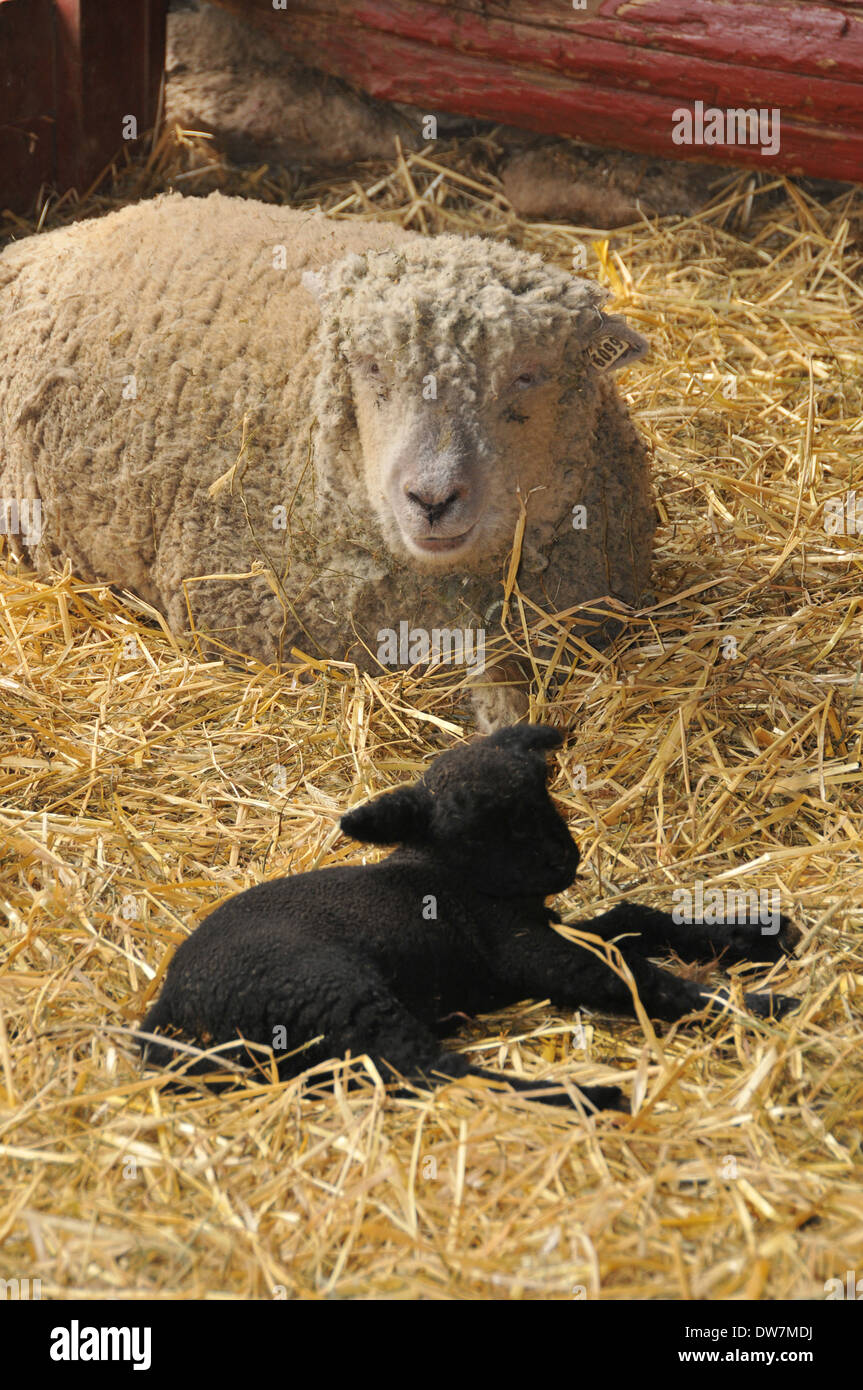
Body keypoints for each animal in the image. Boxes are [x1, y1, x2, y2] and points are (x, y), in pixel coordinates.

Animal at [138, 725, 798, 1110]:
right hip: (329, 991)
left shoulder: (538, 927)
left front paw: (753, 933)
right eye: (478, 826)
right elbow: (632, 978)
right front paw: (755, 1004)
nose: (563, 860)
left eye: (543, 789)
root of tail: (166, 1018)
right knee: (433, 1074)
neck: (455, 877)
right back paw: (588, 1095)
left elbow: (632, 921)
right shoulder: (527, 950)